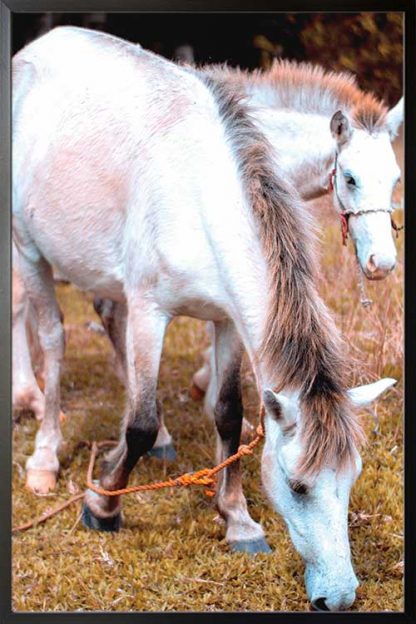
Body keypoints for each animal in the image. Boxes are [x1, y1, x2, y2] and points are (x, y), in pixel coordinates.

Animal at [13, 28, 396, 608]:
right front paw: (103, 504)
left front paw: (238, 520)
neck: (197, 195)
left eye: (351, 480)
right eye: (298, 486)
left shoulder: (228, 321)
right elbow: (141, 421)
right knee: (51, 339)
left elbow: (228, 414)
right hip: (28, 250)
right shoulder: (150, 312)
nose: (339, 596)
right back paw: (44, 453)